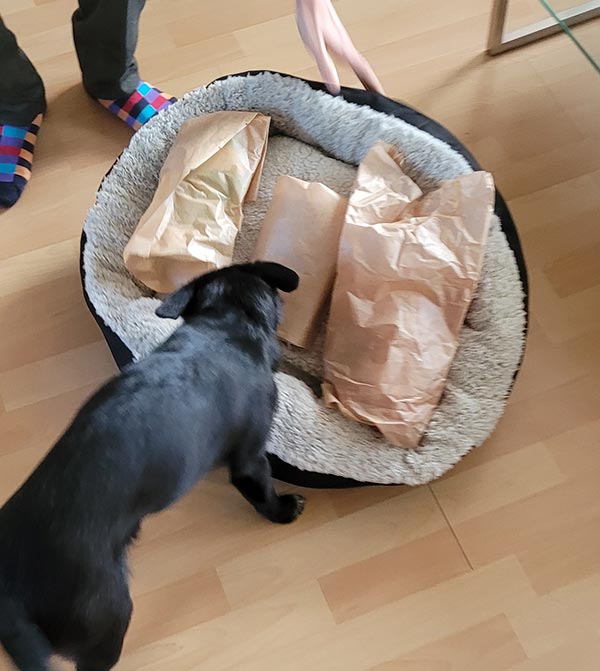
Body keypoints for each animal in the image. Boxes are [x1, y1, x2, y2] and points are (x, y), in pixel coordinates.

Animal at [0, 261, 304, 671]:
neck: (225, 325)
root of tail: (10, 589)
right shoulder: (250, 457)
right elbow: (262, 492)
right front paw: (283, 510)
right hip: (108, 617)